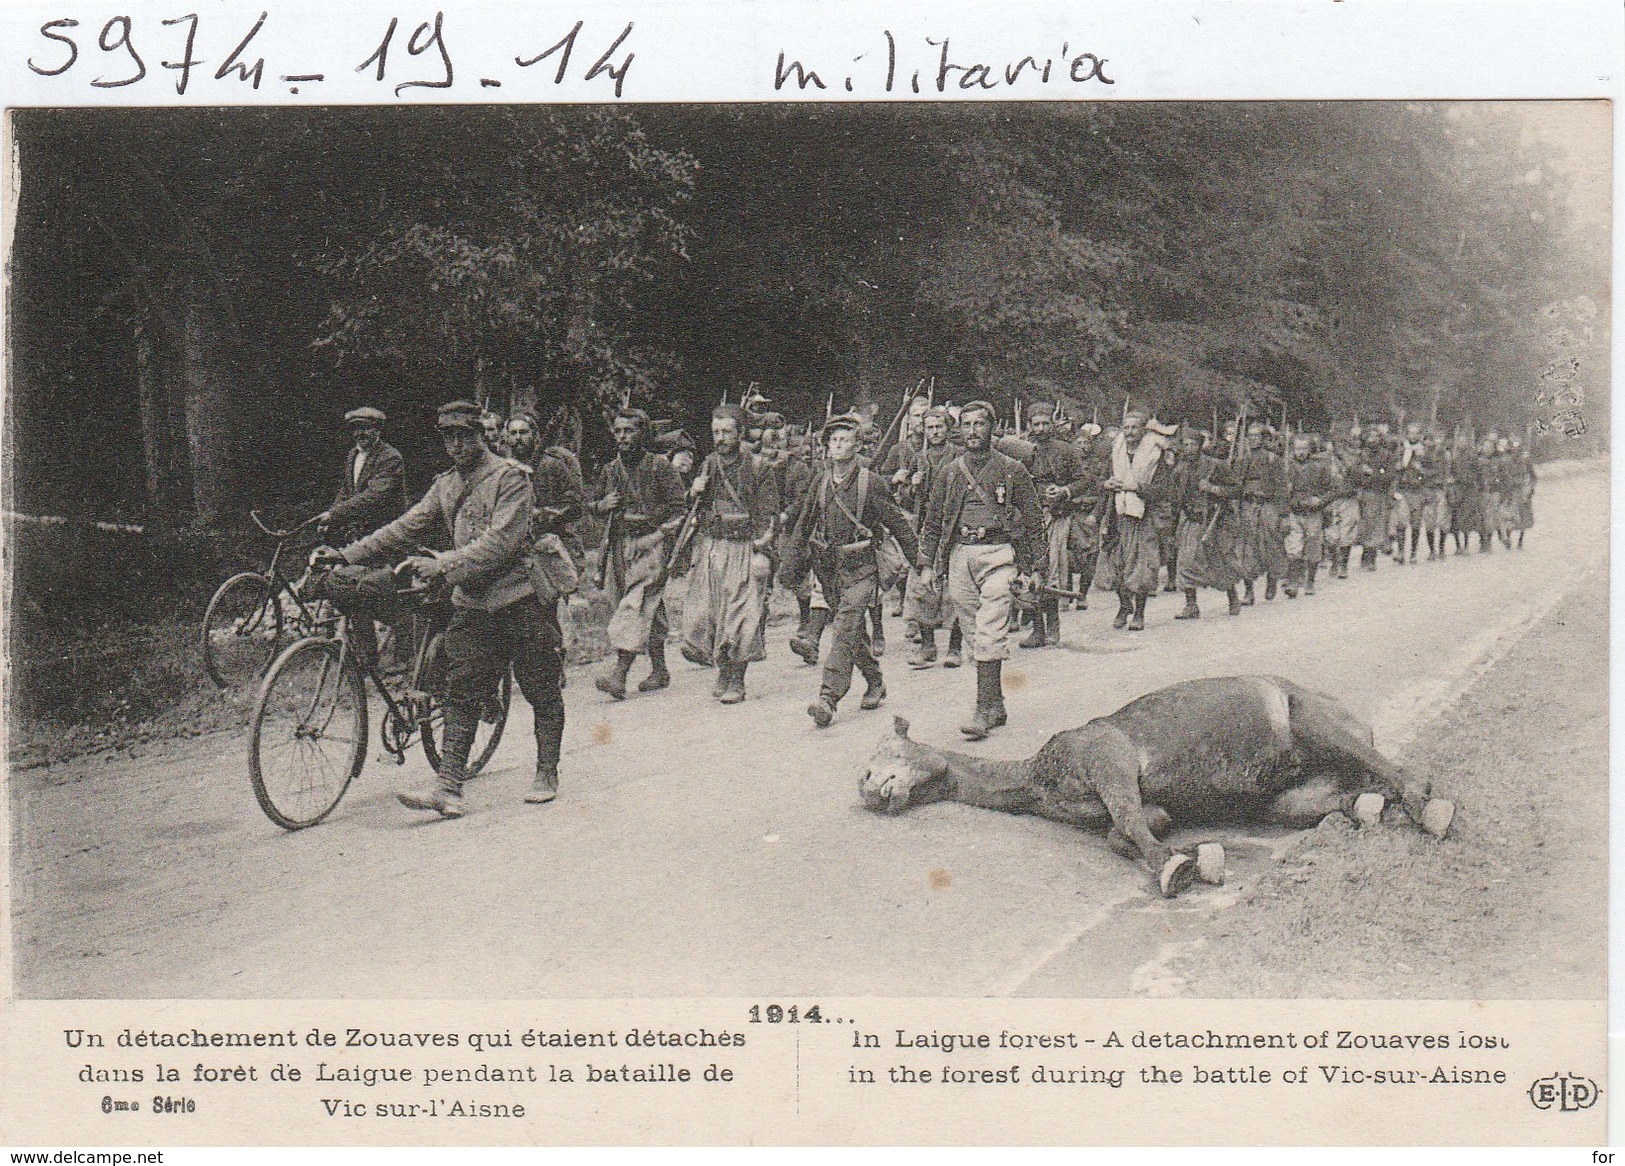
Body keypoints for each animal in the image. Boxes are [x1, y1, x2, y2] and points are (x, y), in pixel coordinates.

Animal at [858, 675, 1456, 896]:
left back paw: (1433, 812)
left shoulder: (1109, 756)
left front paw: (1182, 866)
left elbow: (1129, 824)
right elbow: (1131, 829)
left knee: (1403, 773)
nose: (866, 787)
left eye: (887, 752)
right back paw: (1366, 811)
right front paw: (1192, 856)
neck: (1034, 778)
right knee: (1354, 793)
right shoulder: (1142, 805)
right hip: (1286, 797)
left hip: (1315, 722)